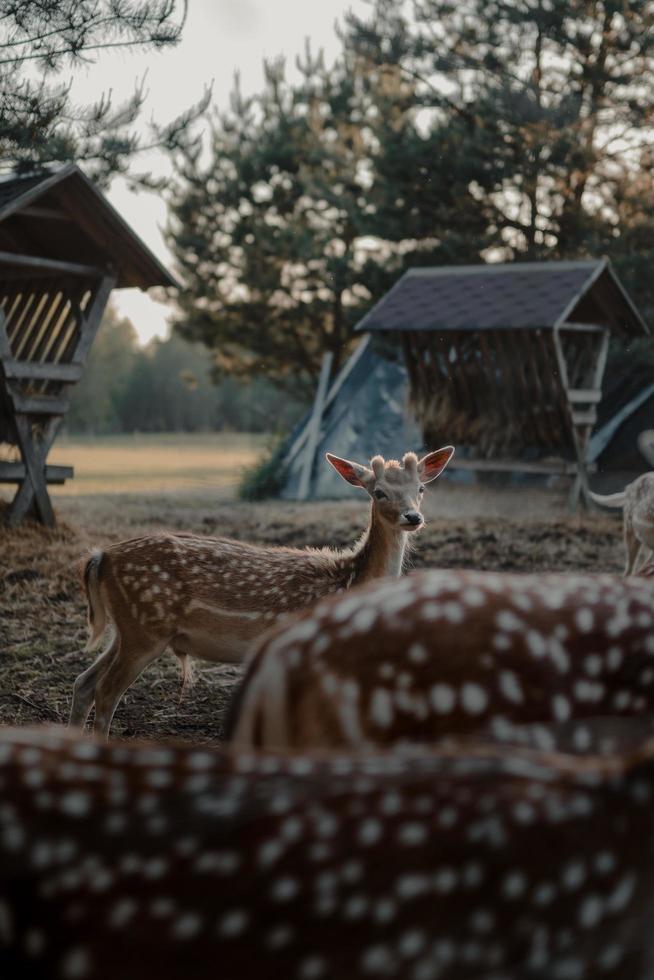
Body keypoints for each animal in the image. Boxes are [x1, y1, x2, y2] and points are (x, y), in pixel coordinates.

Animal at [68, 444, 456, 736]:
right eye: (379, 492)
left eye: (421, 489)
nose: (413, 517)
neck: (348, 581)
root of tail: (101, 557)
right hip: (146, 628)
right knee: (105, 692)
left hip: (128, 629)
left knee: (84, 682)